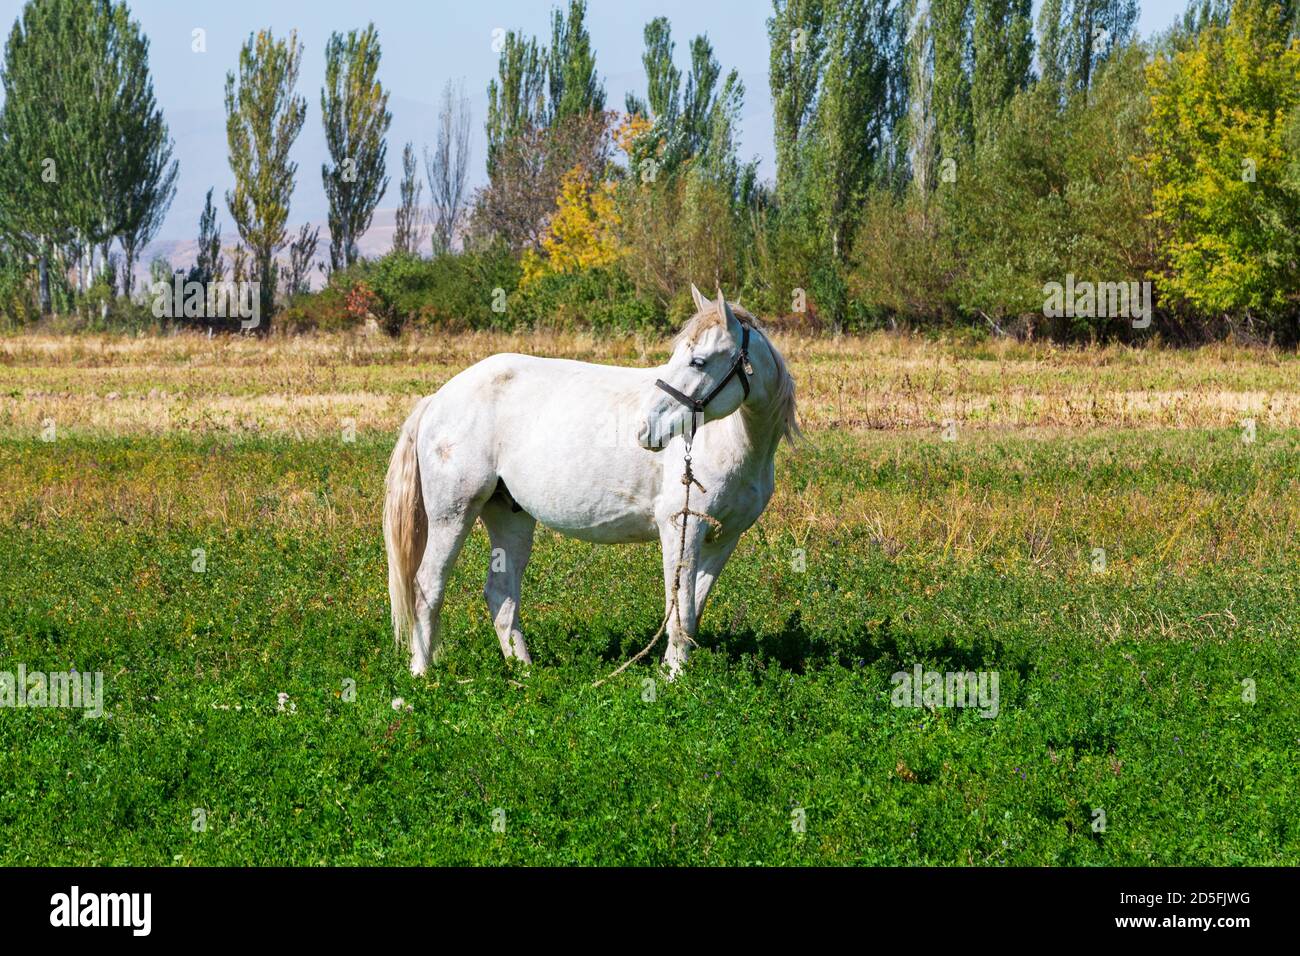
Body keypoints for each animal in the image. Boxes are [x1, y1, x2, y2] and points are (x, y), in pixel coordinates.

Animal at [382, 284, 799, 678]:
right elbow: (678, 610)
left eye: (698, 361)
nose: (645, 430)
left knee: (500, 595)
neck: (732, 440)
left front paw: (675, 672)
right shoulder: (681, 527)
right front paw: (673, 680)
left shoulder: (723, 539)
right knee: (426, 588)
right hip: (452, 515)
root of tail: (438, 398)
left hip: (509, 516)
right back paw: (422, 674)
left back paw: (525, 672)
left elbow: (692, 610)